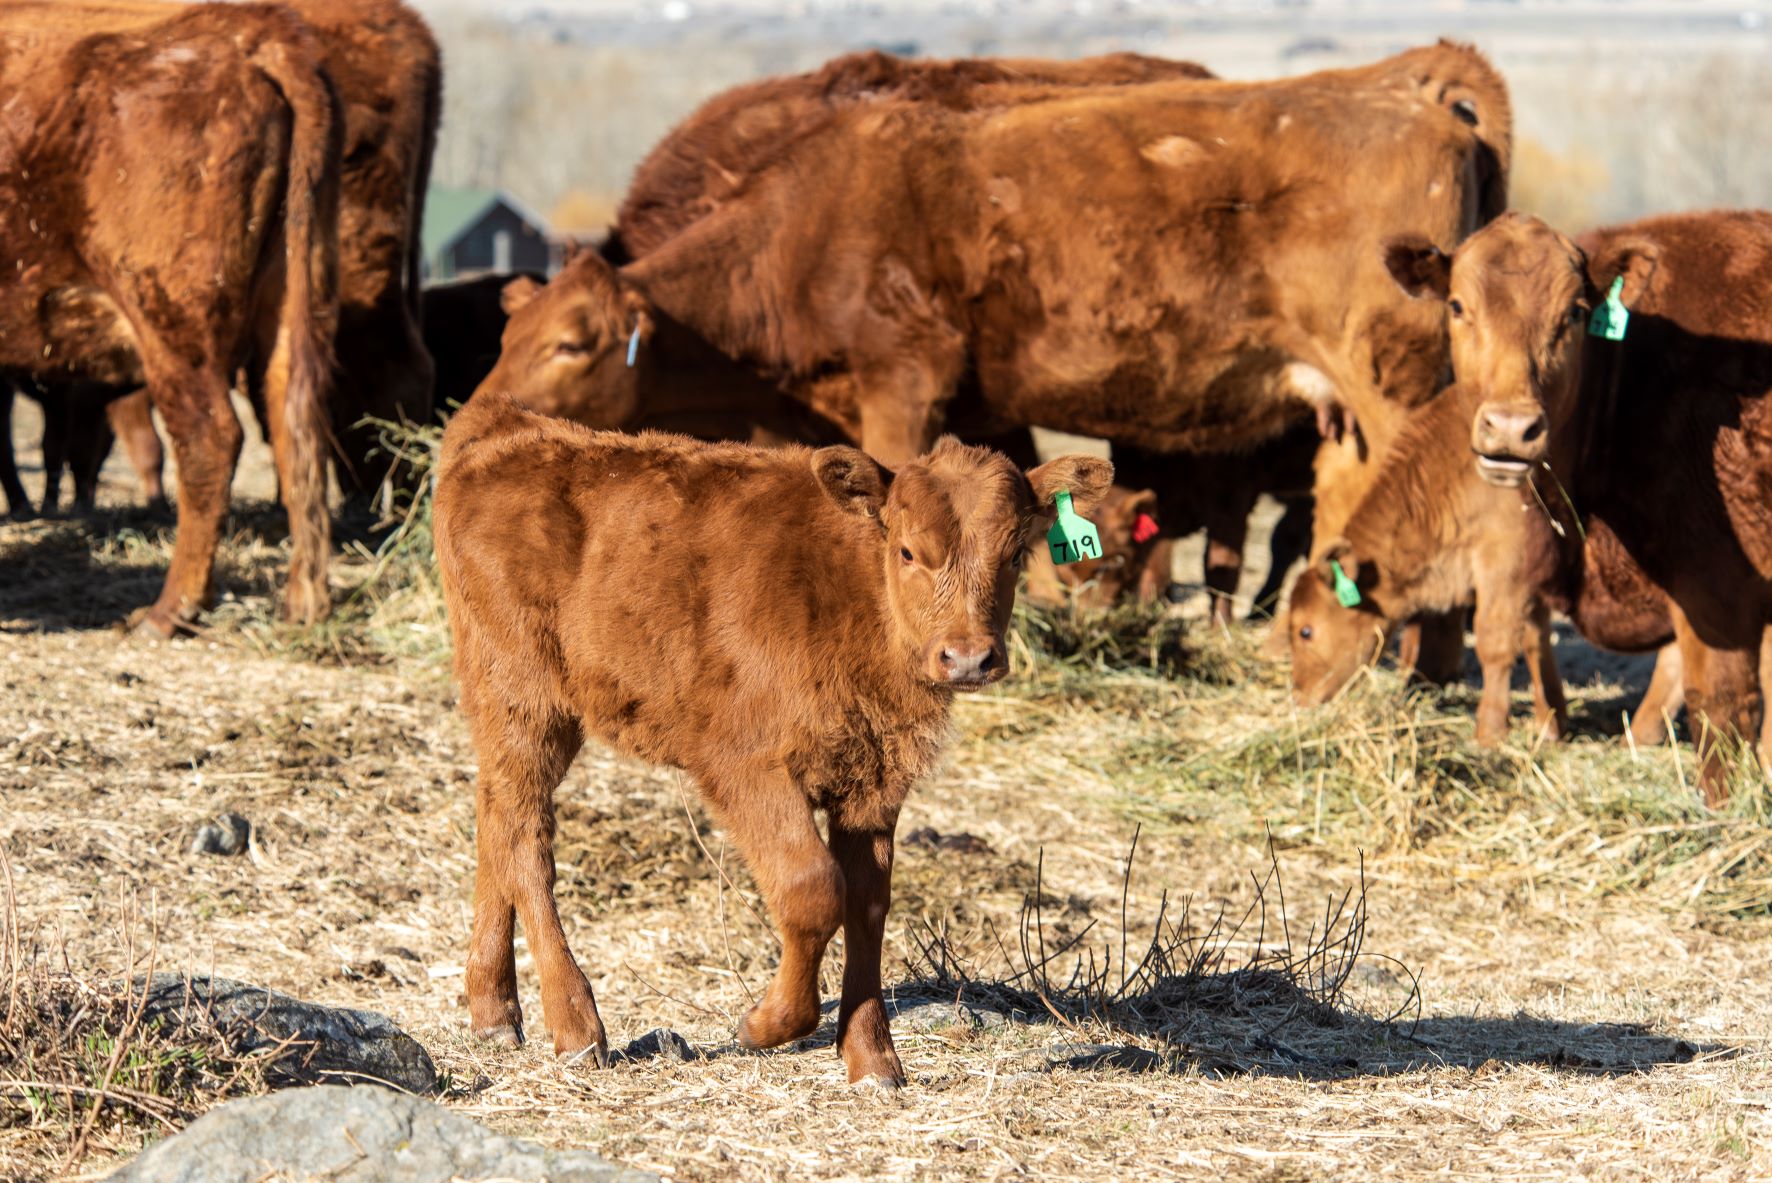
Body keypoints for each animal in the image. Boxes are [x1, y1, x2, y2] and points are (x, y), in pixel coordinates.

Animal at [0, 4, 338, 634]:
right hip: (290, 299)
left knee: (210, 439)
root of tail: (256, 32)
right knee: (294, 426)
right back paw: (303, 603)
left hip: (168, 318)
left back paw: (169, 609)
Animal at [432, 389, 1105, 1083]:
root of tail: (505, 425)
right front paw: (766, 1025)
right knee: (527, 841)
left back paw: (493, 1012)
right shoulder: (744, 765)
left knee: (495, 814)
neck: (849, 592)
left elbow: (867, 905)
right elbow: (813, 889)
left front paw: (872, 1059)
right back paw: (577, 1027)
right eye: (908, 552)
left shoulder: (873, 781)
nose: (969, 659)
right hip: (526, 701)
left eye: (1015, 554)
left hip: (513, 713)